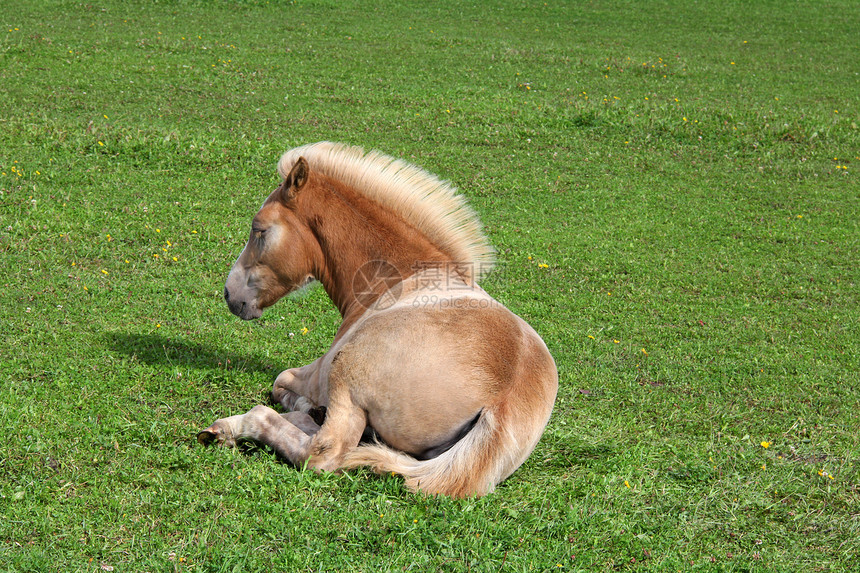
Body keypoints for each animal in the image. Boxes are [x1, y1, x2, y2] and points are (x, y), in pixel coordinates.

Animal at [197, 140, 556, 496]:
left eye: (258, 229)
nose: (230, 294)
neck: (400, 277)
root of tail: (502, 401)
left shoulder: (317, 372)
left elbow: (281, 383)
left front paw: (305, 409)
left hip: (345, 375)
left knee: (320, 449)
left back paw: (232, 427)